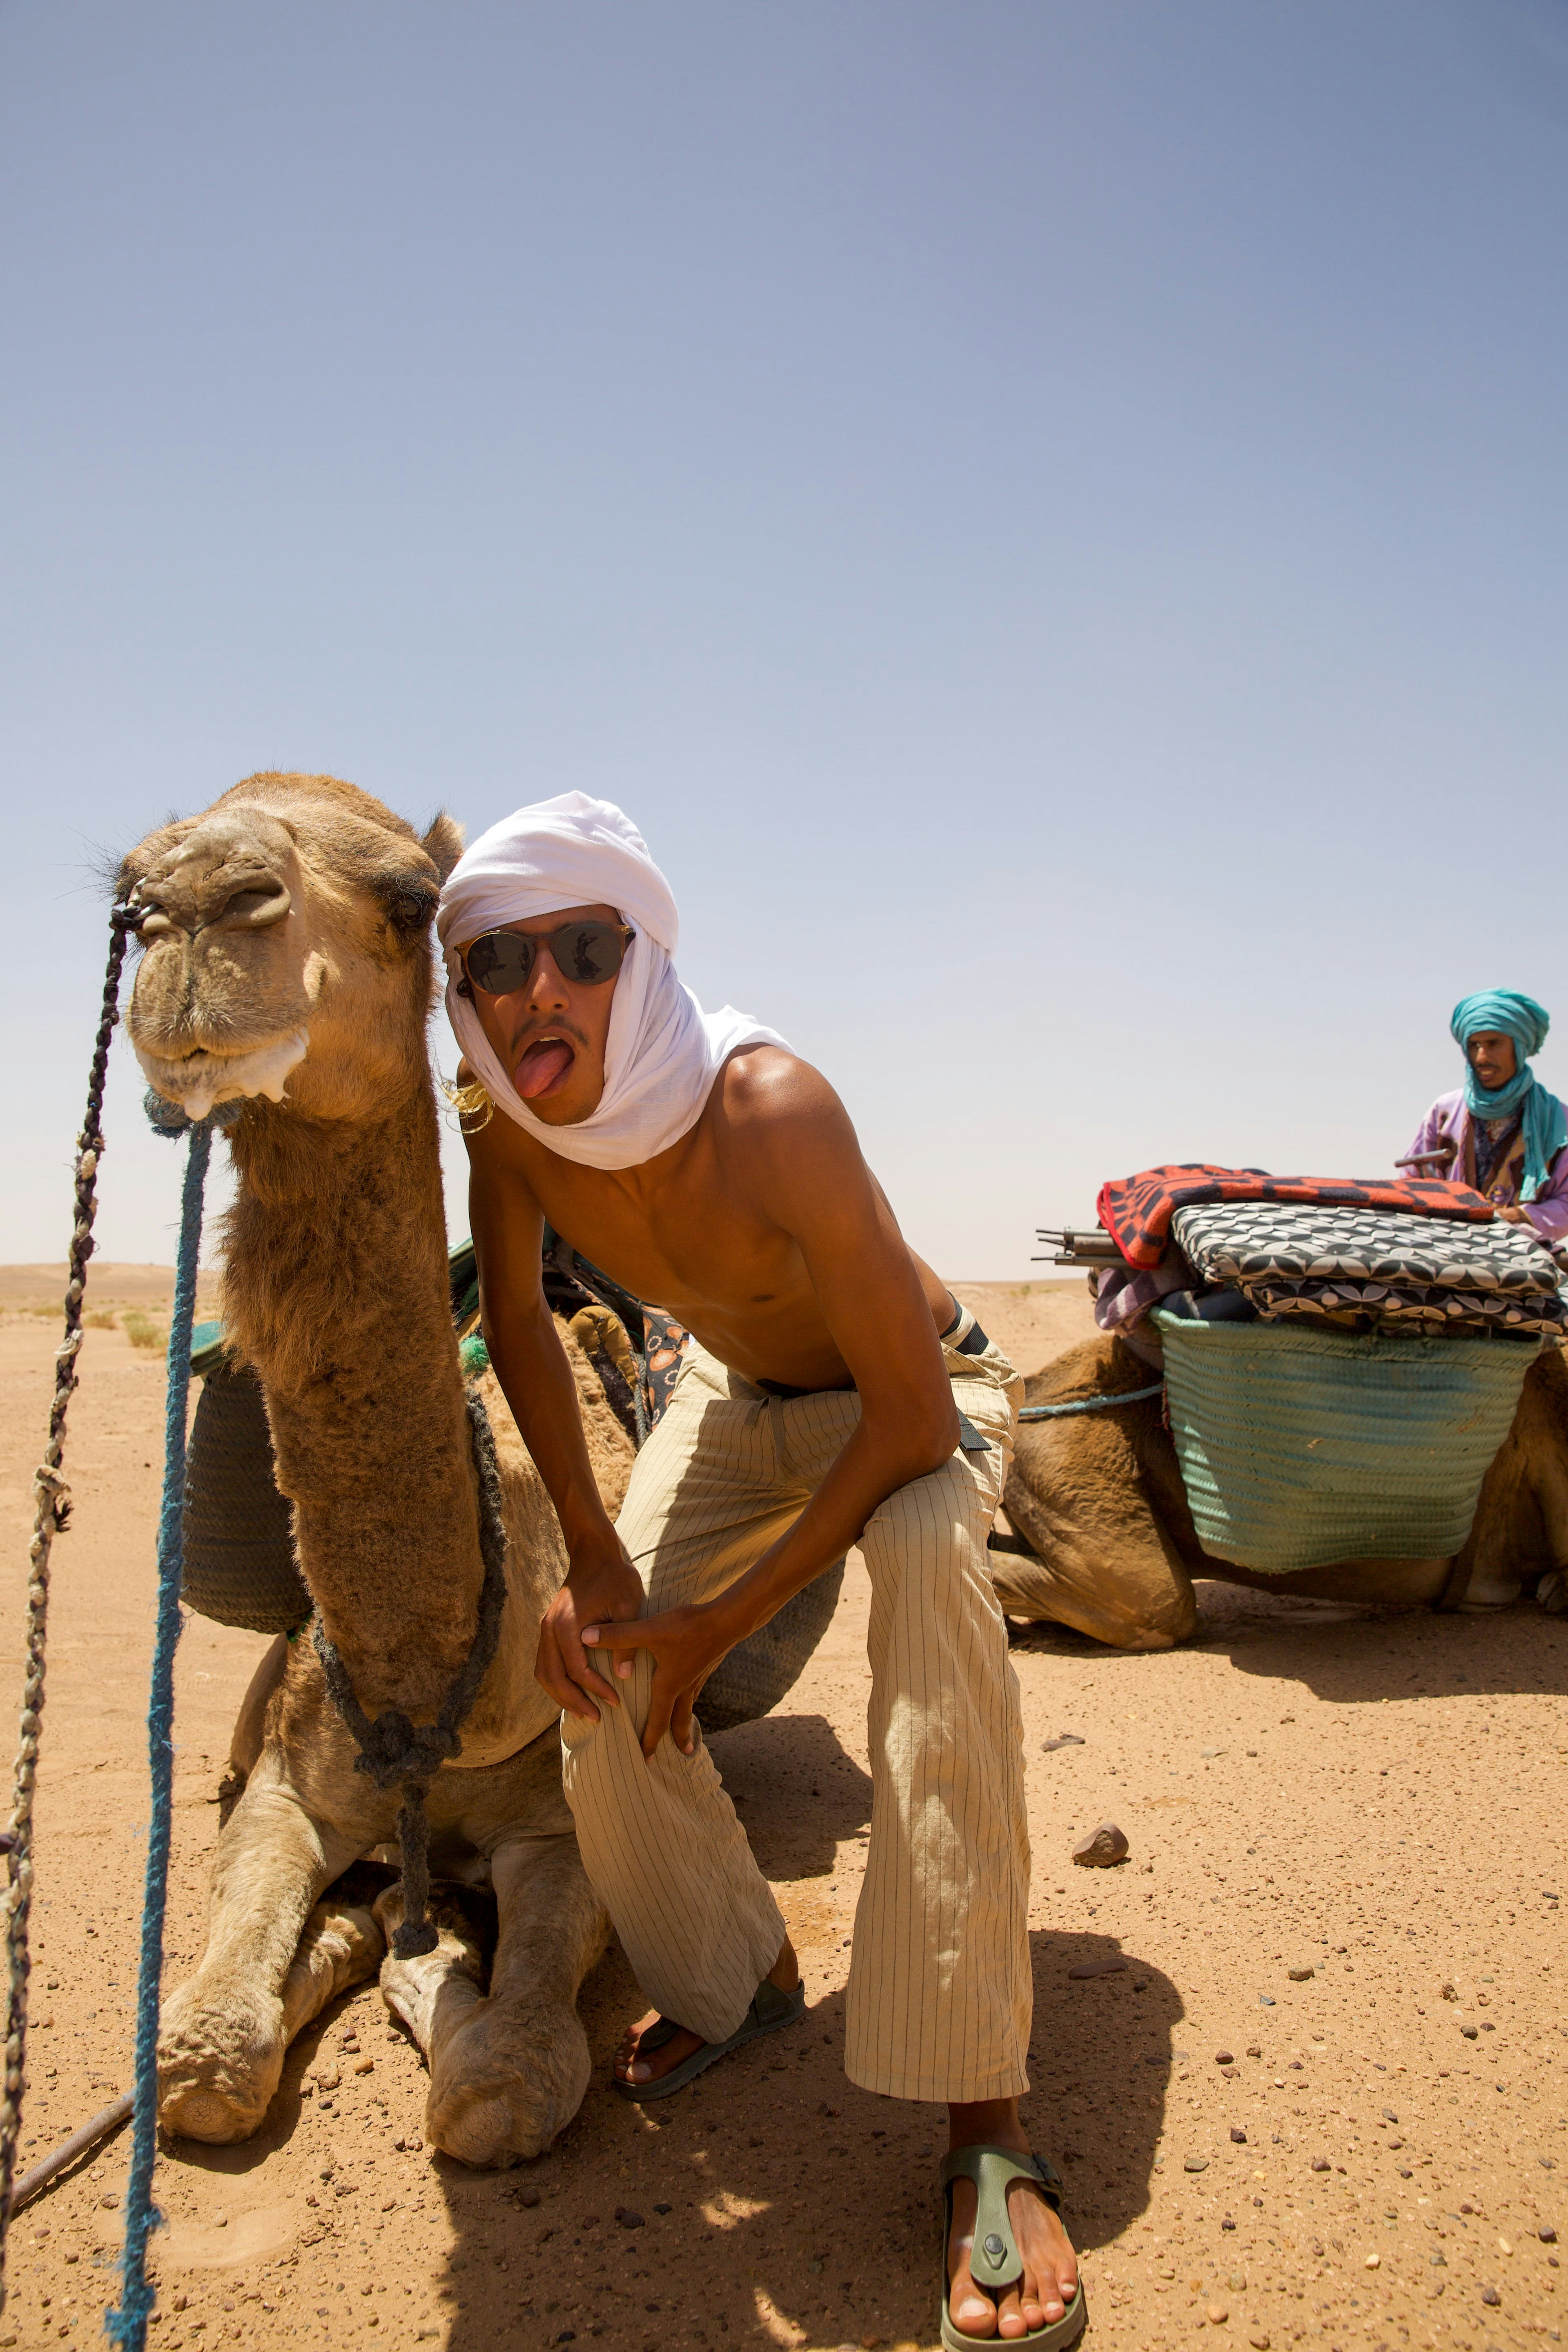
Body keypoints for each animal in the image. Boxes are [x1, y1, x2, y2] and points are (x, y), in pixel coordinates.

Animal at [121, 771, 642, 2167]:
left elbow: (507, 2084)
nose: (193, 903)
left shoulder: (562, 1826)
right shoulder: (287, 1793)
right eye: (126, 888)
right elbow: (201, 2059)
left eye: (412, 898)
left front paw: (433, 1966)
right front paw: (365, 1940)